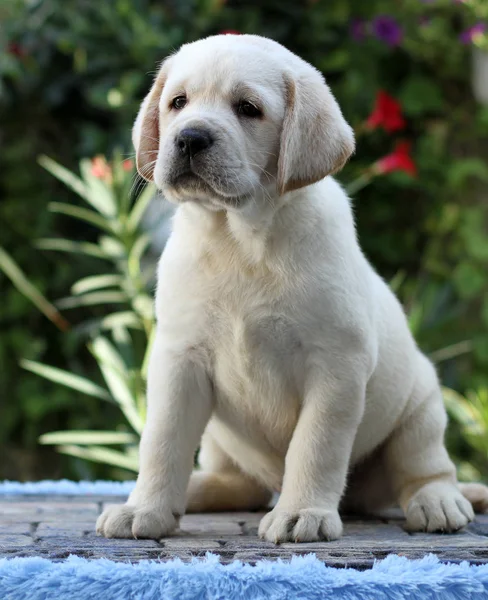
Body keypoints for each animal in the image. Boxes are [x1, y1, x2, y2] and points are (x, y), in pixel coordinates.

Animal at [96, 35, 488, 548]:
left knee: (425, 470)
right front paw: (145, 508)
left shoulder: (336, 365)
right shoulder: (179, 358)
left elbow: (315, 445)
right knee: (239, 482)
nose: (189, 137)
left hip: (422, 406)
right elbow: (161, 440)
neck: (239, 238)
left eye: (248, 108)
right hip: (222, 438)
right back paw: (193, 490)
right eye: (178, 102)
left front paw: (302, 513)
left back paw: (438, 502)